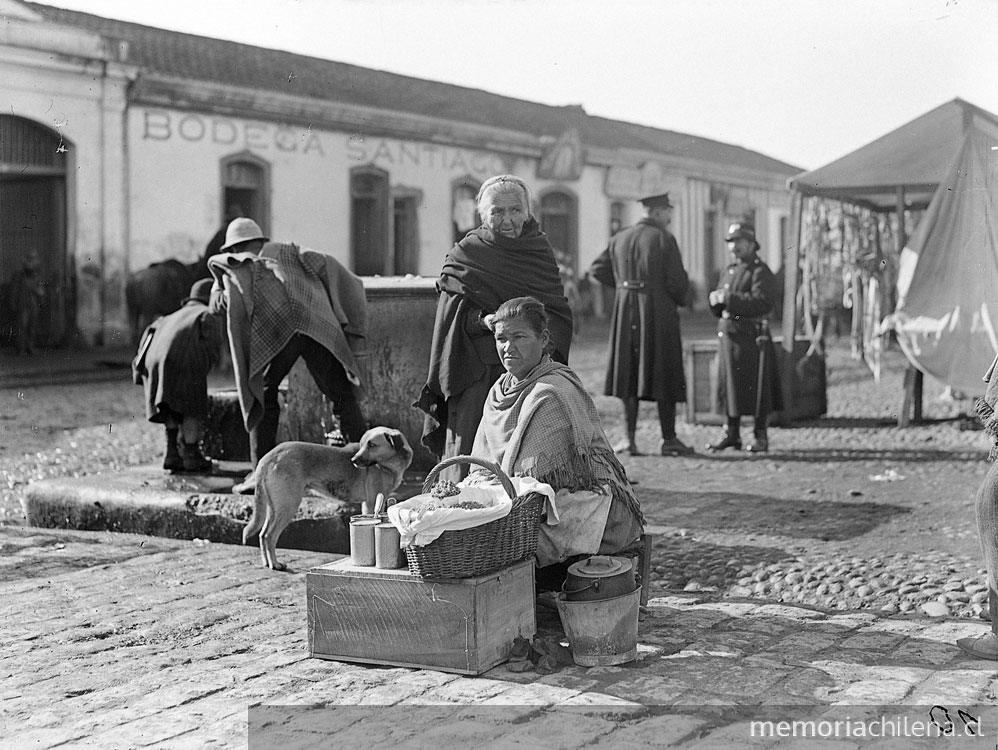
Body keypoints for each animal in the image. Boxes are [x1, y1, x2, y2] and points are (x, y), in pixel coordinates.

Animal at [244, 428, 412, 568]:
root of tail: (269, 456)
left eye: (372, 444)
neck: (388, 463)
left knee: (262, 534)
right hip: (288, 505)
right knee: (269, 536)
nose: (353, 460)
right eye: (363, 444)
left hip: (274, 507)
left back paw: (267, 563)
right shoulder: (371, 502)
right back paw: (275, 564)